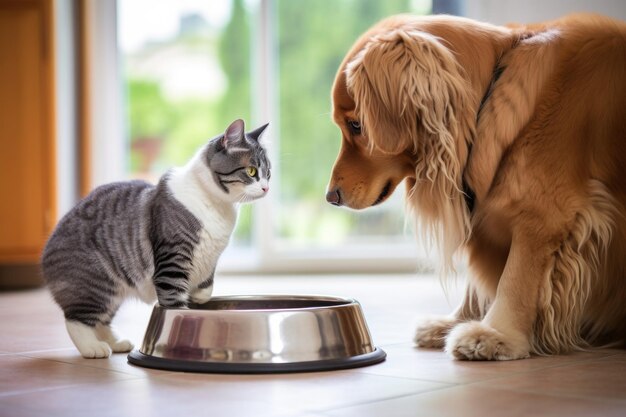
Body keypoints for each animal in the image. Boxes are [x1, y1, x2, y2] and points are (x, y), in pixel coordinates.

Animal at [40, 118, 270, 358]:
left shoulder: (212, 255)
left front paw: (199, 295)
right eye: (252, 171)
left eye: (269, 172)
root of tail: (47, 250)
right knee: (76, 320)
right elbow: (174, 302)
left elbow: (207, 283)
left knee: (101, 320)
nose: (266, 187)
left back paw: (117, 343)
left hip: (114, 293)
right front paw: (182, 320)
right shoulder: (172, 259)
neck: (220, 207)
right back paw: (93, 347)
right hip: (95, 283)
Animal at [326, 13, 624, 358]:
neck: (491, 90)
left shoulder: (546, 210)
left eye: (356, 125)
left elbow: (516, 276)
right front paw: (456, 321)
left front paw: (495, 334)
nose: (330, 197)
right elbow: (478, 281)